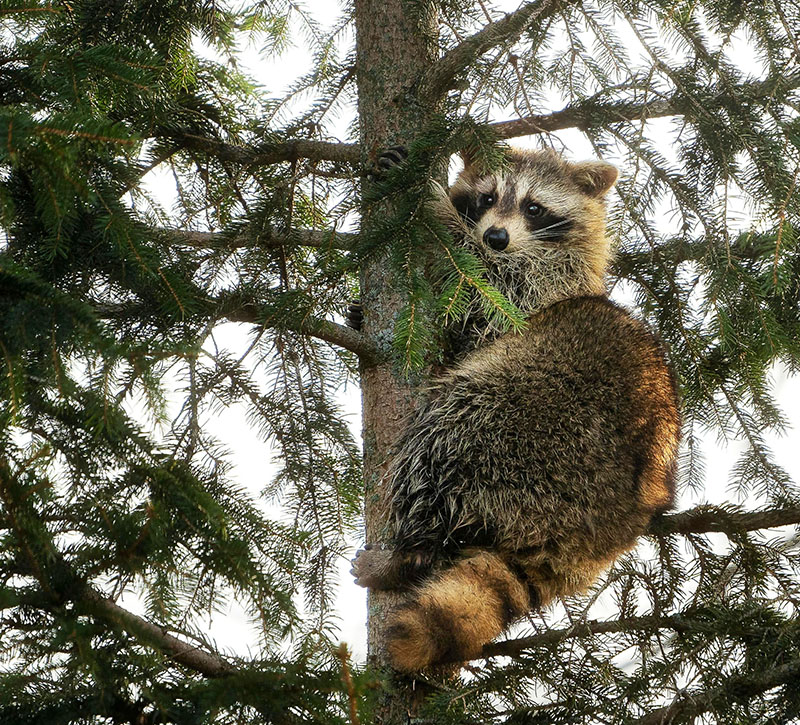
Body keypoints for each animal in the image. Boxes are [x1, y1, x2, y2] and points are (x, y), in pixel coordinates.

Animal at [351, 147, 681, 672]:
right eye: (487, 197)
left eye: (534, 207)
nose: (495, 237)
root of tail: (606, 532)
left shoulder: (537, 286)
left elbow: (482, 292)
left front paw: (434, 206)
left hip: (535, 421)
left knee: (446, 435)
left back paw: (410, 555)